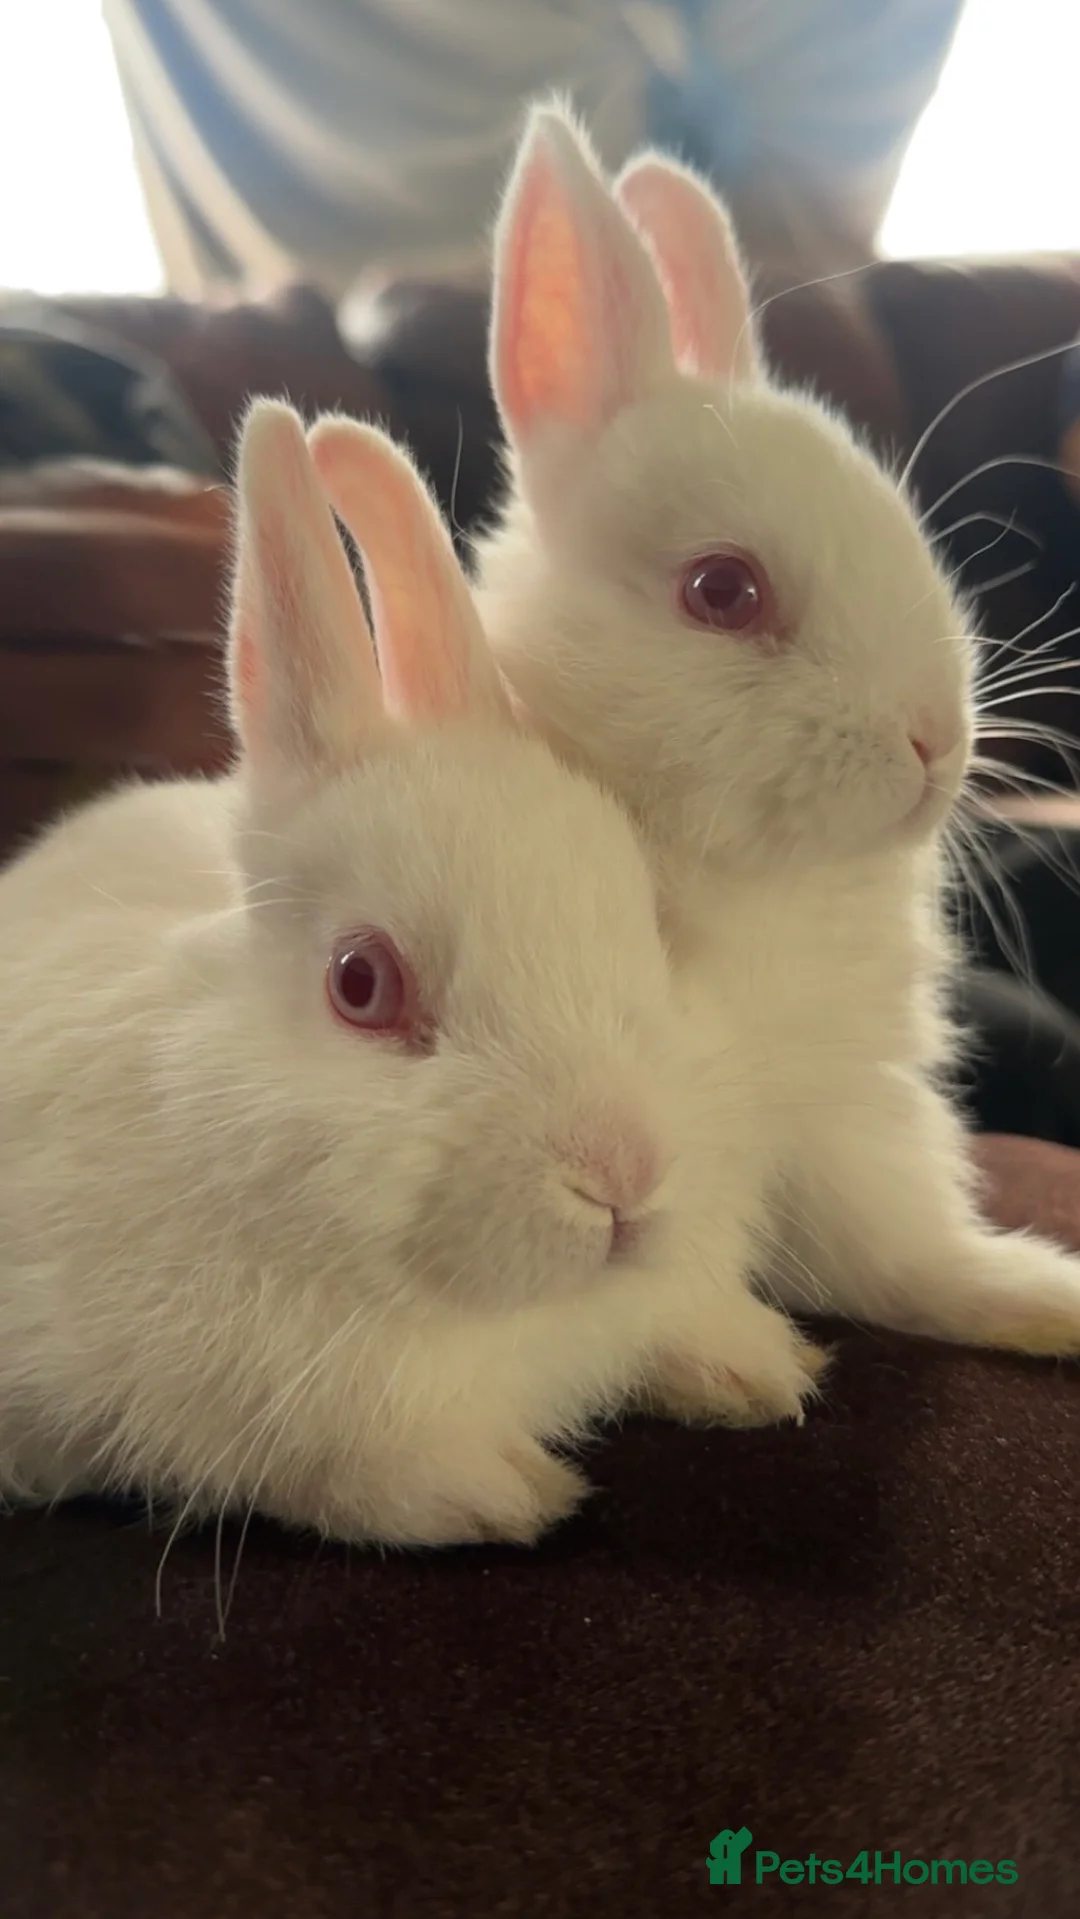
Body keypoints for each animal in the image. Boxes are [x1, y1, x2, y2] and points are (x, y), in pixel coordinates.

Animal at [0, 399, 826, 1550]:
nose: (624, 1174)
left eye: (647, 921)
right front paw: (504, 1490)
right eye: (361, 983)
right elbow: (344, 1466)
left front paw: (757, 1369)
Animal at [451, 98, 1080, 1362]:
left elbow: (908, 1263)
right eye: (723, 590)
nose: (936, 739)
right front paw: (744, 1366)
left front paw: (1046, 1299)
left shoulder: (850, 1125)